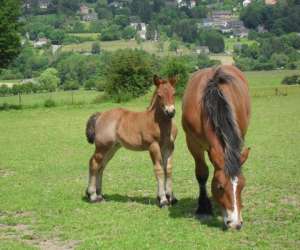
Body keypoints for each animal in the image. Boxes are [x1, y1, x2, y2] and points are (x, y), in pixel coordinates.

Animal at [85, 74, 177, 207]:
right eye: (159, 95)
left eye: (174, 93)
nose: (170, 112)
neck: (160, 123)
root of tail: (101, 114)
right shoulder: (153, 146)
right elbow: (159, 170)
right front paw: (163, 200)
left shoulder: (169, 147)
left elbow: (168, 169)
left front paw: (171, 197)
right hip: (102, 146)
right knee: (94, 163)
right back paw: (92, 196)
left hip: (112, 148)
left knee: (101, 166)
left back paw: (99, 195)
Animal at [183, 65, 251, 229]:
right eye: (220, 187)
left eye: (243, 185)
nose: (236, 224)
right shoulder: (193, 144)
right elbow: (202, 173)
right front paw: (203, 208)